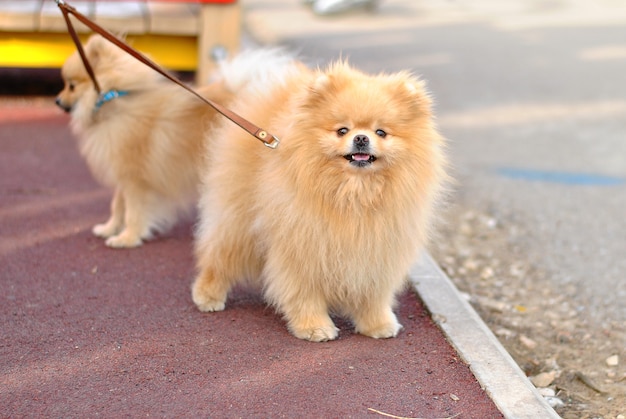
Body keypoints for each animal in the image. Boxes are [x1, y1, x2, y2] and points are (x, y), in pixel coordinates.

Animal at [54, 34, 236, 248]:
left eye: (71, 86)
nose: (57, 100)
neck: (114, 99)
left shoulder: (136, 179)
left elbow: (133, 211)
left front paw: (128, 238)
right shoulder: (124, 175)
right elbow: (117, 205)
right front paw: (109, 229)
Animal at [191, 55, 448, 342]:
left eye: (381, 132)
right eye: (342, 130)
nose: (361, 138)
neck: (354, 193)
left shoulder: (376, 249)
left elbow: (373, 293)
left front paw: (377, 323)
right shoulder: (304, 245)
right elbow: (304, 292)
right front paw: (314, 327)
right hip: (238, 219)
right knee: (219, 255)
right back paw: (208, 294)